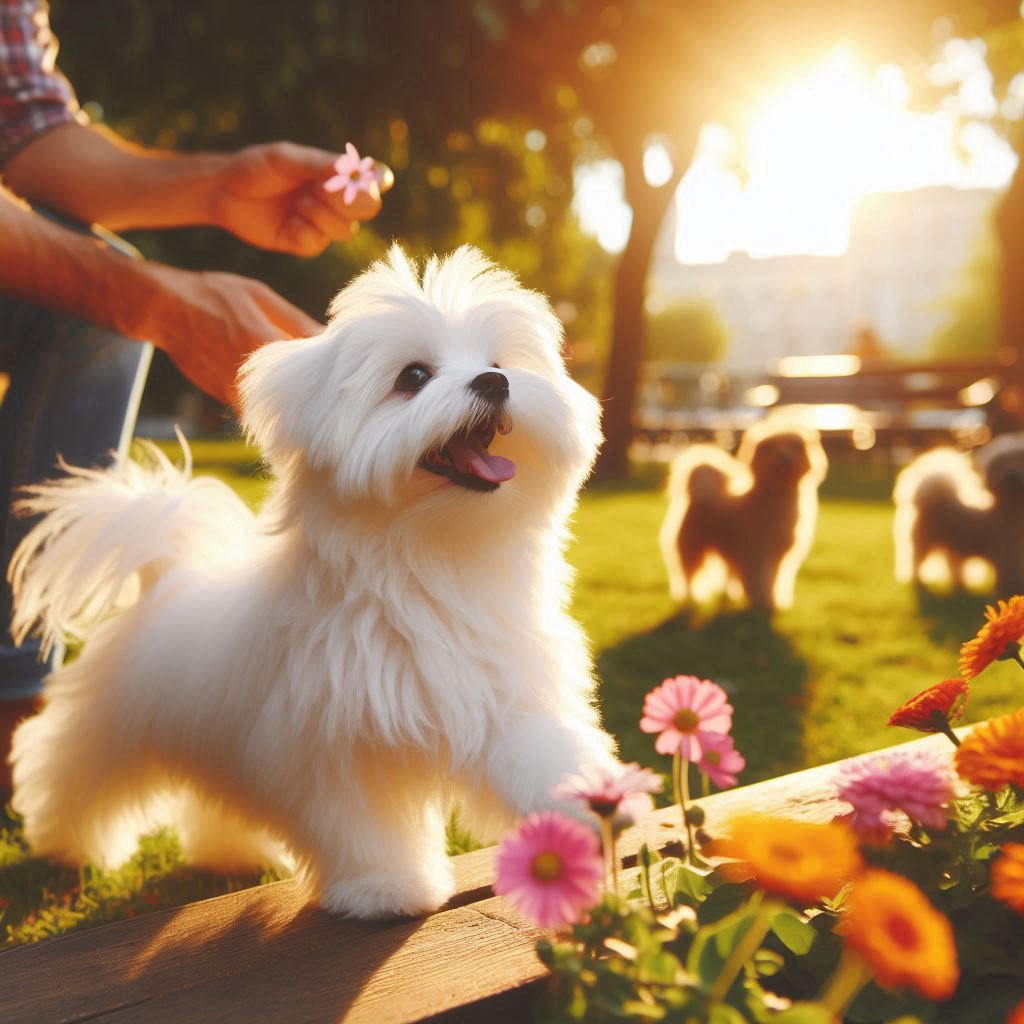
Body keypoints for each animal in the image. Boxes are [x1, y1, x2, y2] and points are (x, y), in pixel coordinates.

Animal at [6, 245, 614, 921]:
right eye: (414, 376)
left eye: (498, 364)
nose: (494, 383)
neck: (432, 560)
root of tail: (165, 577)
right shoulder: (337, 742)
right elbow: (365, 824)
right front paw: (384, 887)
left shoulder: (506, 695)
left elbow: (541, 754)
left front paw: (583, 808)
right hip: (111, 726)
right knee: (68, 770)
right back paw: (64, 845)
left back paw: (229, 854)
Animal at [659, 413, 827, 606]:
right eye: (772, 448)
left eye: (794, 446)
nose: (784, 458)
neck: (776, 496)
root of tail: (698, 492)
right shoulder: (756, 554)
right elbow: (761, 579)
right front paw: (762, 600)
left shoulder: (778, 557)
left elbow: (775, 579)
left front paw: (774, 600)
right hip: (693, 548)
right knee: (687, 574)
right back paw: (689, 596)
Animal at [892, 436, 1024, 598]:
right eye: (1001, 465)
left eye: (1019, 461)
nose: (1010, 474)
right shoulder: (1007, 555)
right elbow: (1010, 577)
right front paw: (1011, 592)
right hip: (924, 543)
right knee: (916, 562)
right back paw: (920, 582)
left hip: (951, 546)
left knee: (954, 568)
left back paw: (960, 586)